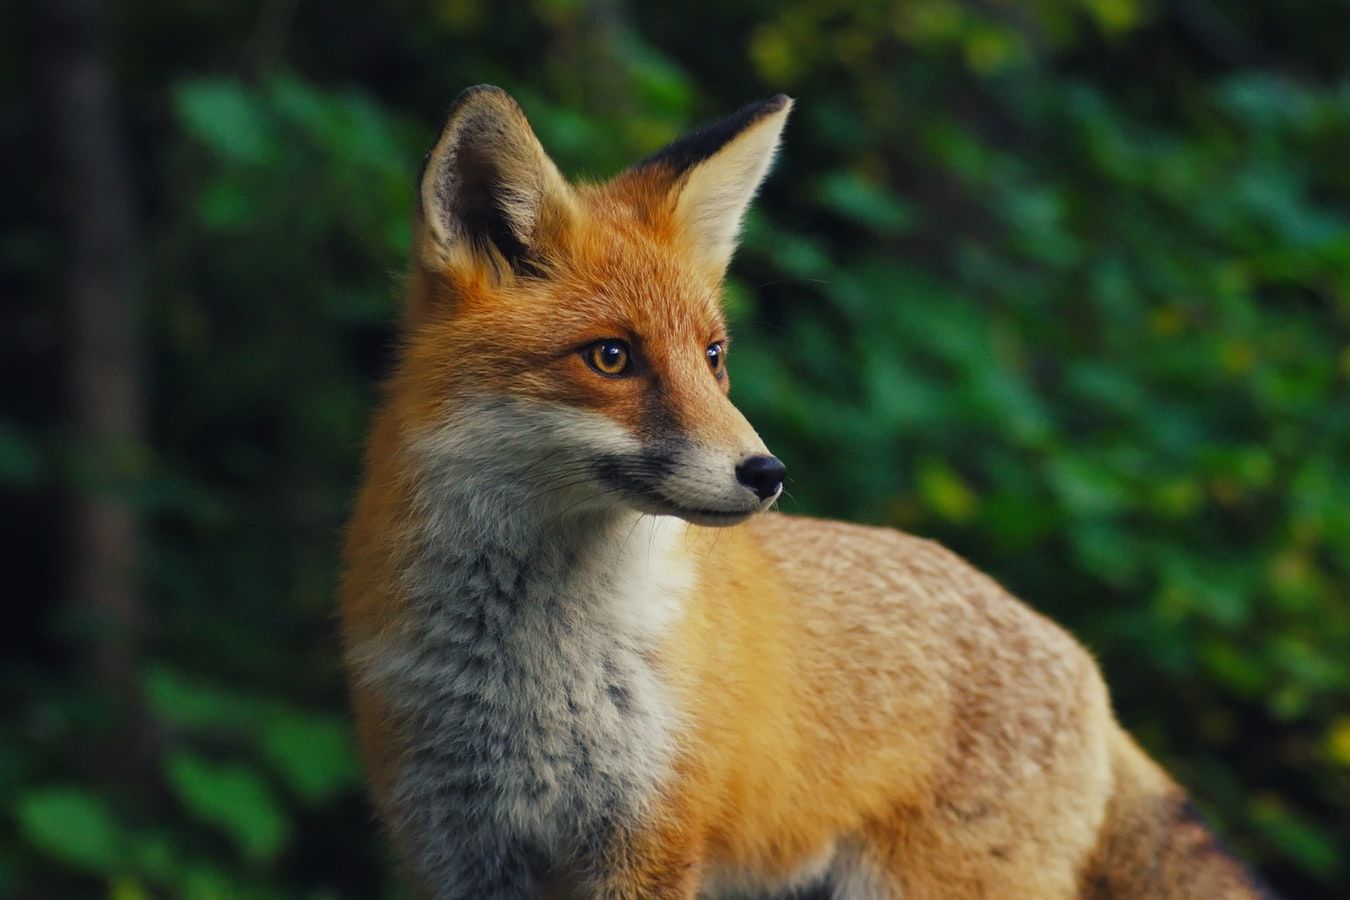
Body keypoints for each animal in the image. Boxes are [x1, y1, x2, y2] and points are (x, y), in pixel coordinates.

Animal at [340, 86, 1274, 900]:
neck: (529, 677)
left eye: (714, 356)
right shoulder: (457, 849)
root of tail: (1081, 663)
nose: (767, 472)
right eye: (611, 357)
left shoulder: (652, 844)